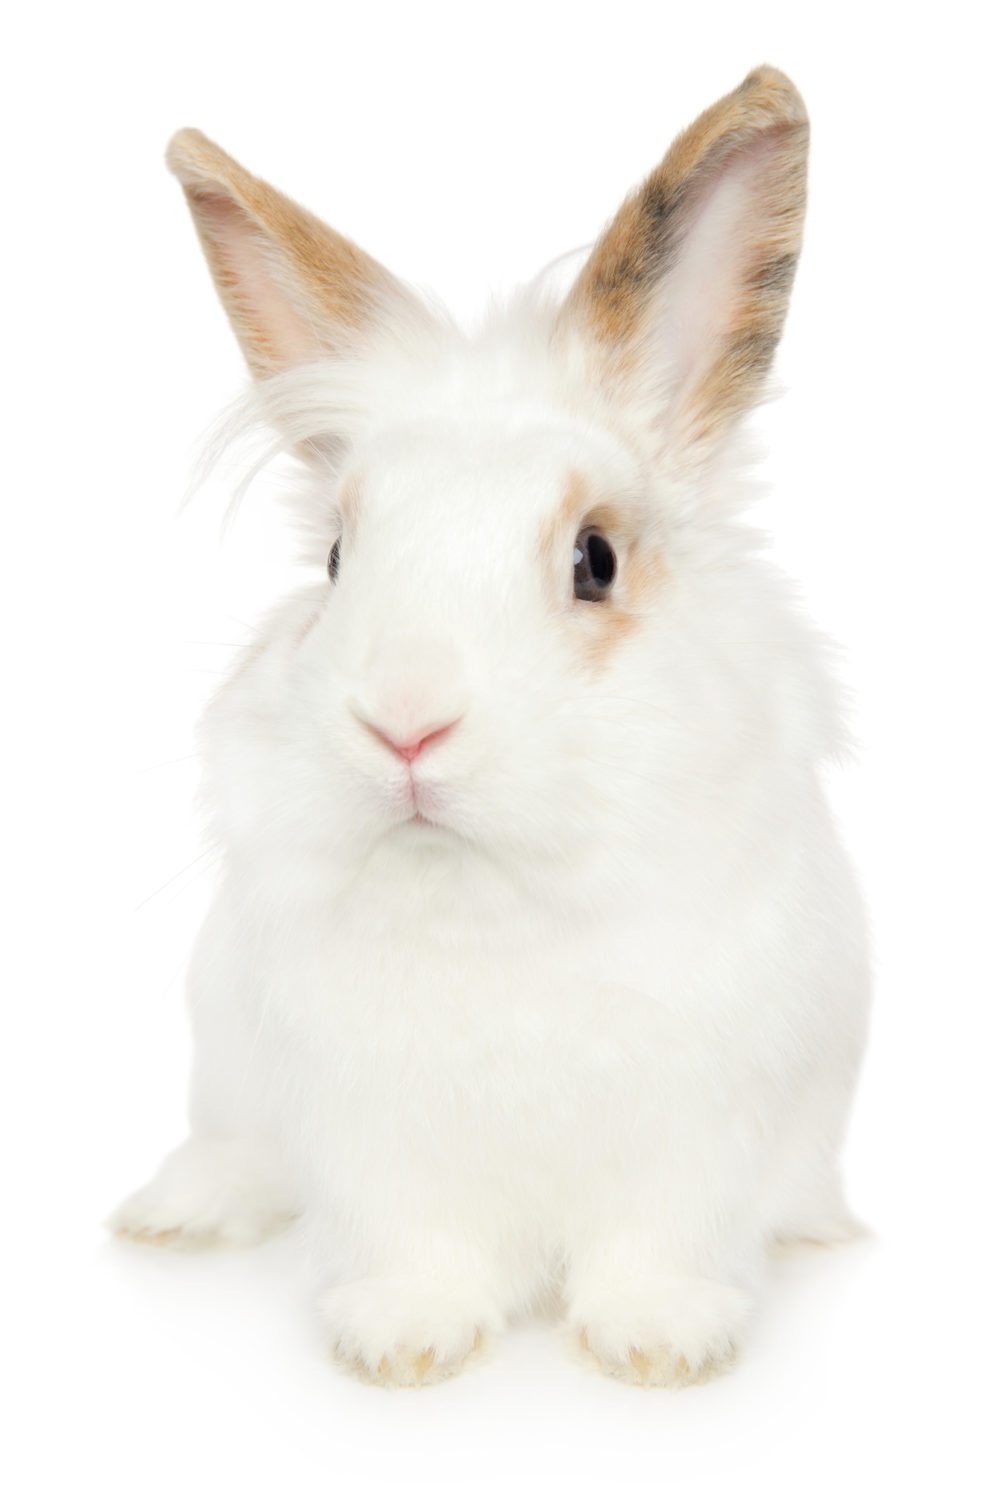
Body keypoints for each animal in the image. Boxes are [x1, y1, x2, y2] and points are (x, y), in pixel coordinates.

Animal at [111, 65, 870, 1389]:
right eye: (337, 558)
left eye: (595, 558)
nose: (406, 723)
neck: (488, 896)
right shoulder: (377, 1144)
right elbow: (420, 1245)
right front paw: (404, 1342)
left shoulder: (702, 1136)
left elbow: (659, 1243)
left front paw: (657, 1344)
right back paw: (172, 1214)